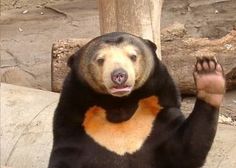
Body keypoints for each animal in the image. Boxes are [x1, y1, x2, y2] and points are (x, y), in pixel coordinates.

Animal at [47, 32, 225, 167]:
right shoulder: (75, 130)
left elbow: (185, 150)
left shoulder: (158, 119)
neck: (120, 106)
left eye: (133, 56)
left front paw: (208, 71)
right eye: (100, 60)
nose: (119, 75)